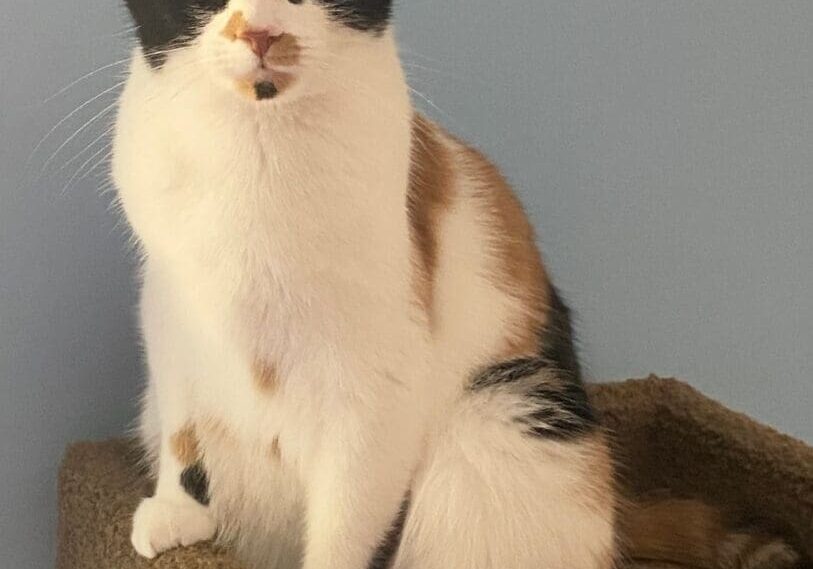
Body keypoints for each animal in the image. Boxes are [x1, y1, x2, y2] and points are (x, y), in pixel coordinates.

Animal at [116, 1, 616, 568]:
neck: (258, 142)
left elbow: (348, 521)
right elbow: (182, 426)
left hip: (497, 423)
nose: (261, 31)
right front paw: (177, 511)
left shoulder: (377, 386)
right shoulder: (170, 316)